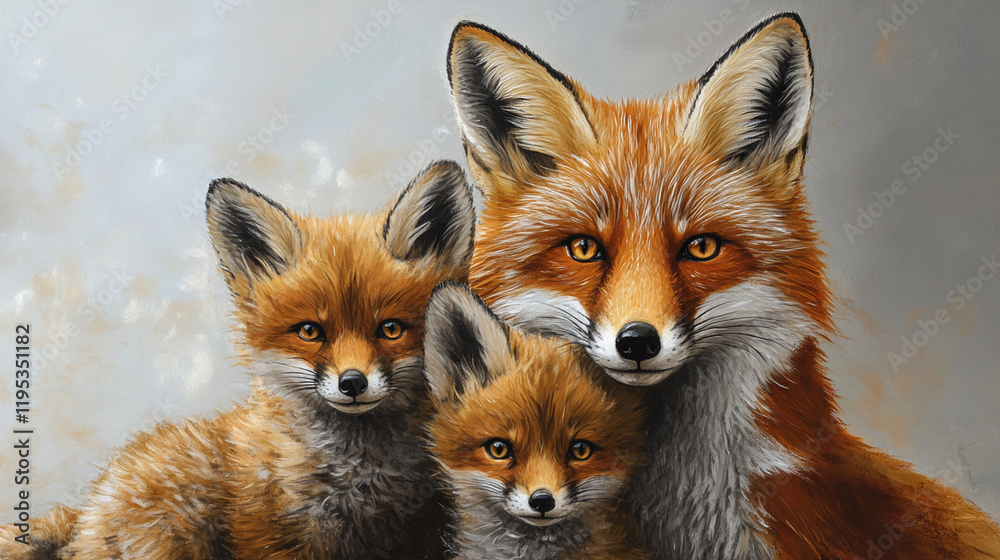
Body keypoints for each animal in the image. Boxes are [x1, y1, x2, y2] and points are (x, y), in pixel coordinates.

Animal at [0, 160, 475, 560]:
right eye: (310, 331)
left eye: (390, 329)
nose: (353, 383)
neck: (360, 477)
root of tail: (85, 514)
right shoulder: (266, 534)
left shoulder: (424, 525)